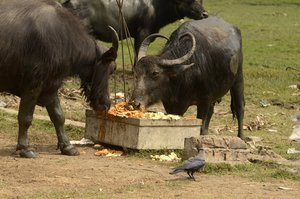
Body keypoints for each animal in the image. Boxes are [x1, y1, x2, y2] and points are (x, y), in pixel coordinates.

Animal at [0, 0, 119, 159]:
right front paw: (25, 148)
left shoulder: (51, 86)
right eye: (112, 69)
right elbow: (25, 117)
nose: (106, 105)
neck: (63, 38)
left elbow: (58, 117)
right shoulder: (33, 86)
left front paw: (67, 146)